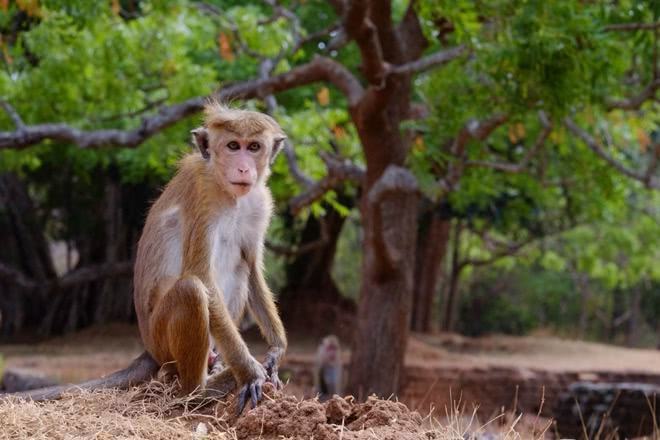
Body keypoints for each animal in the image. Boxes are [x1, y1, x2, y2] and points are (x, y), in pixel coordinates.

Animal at [6, 101, 288, 414]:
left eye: (254, 147)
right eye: (233, 146)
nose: (243, 167)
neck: (230, 193)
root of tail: (149, 349)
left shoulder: (260, 203)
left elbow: (251, 267)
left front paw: (276, 349)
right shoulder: (202, 194)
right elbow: (201, 276)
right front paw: (250, 372)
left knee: (238, 271)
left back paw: (214, 366)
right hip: (161, 338)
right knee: (191, 290)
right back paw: (200, 389)